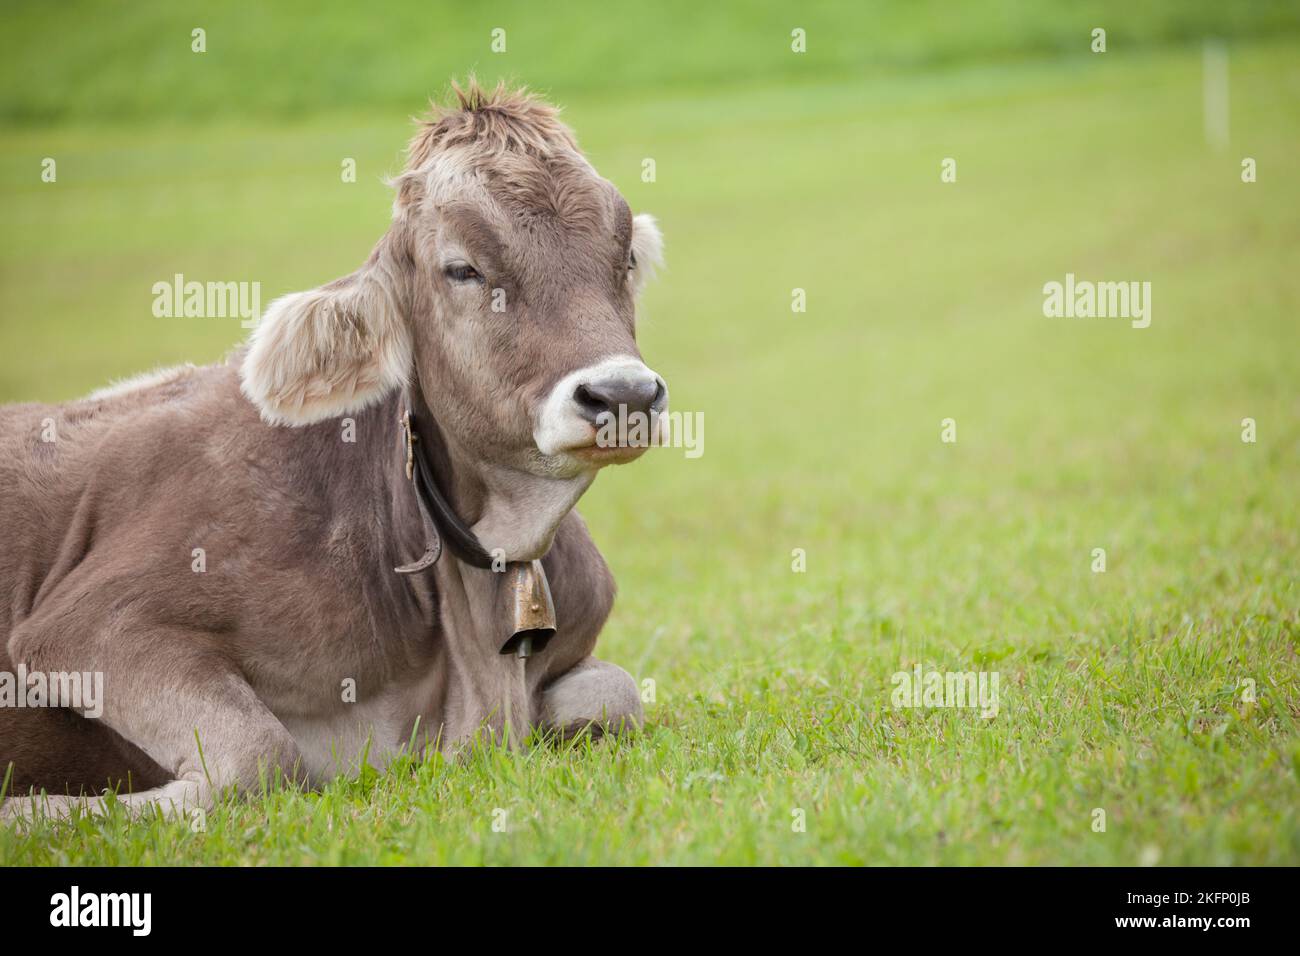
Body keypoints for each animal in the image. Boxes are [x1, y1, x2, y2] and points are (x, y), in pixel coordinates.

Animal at [0, 81, 667, 821]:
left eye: (623, 259)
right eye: (462, 269)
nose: (624, 393)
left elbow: (615, 694)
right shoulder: (87, 623)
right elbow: (259, 756)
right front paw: (30, 812)